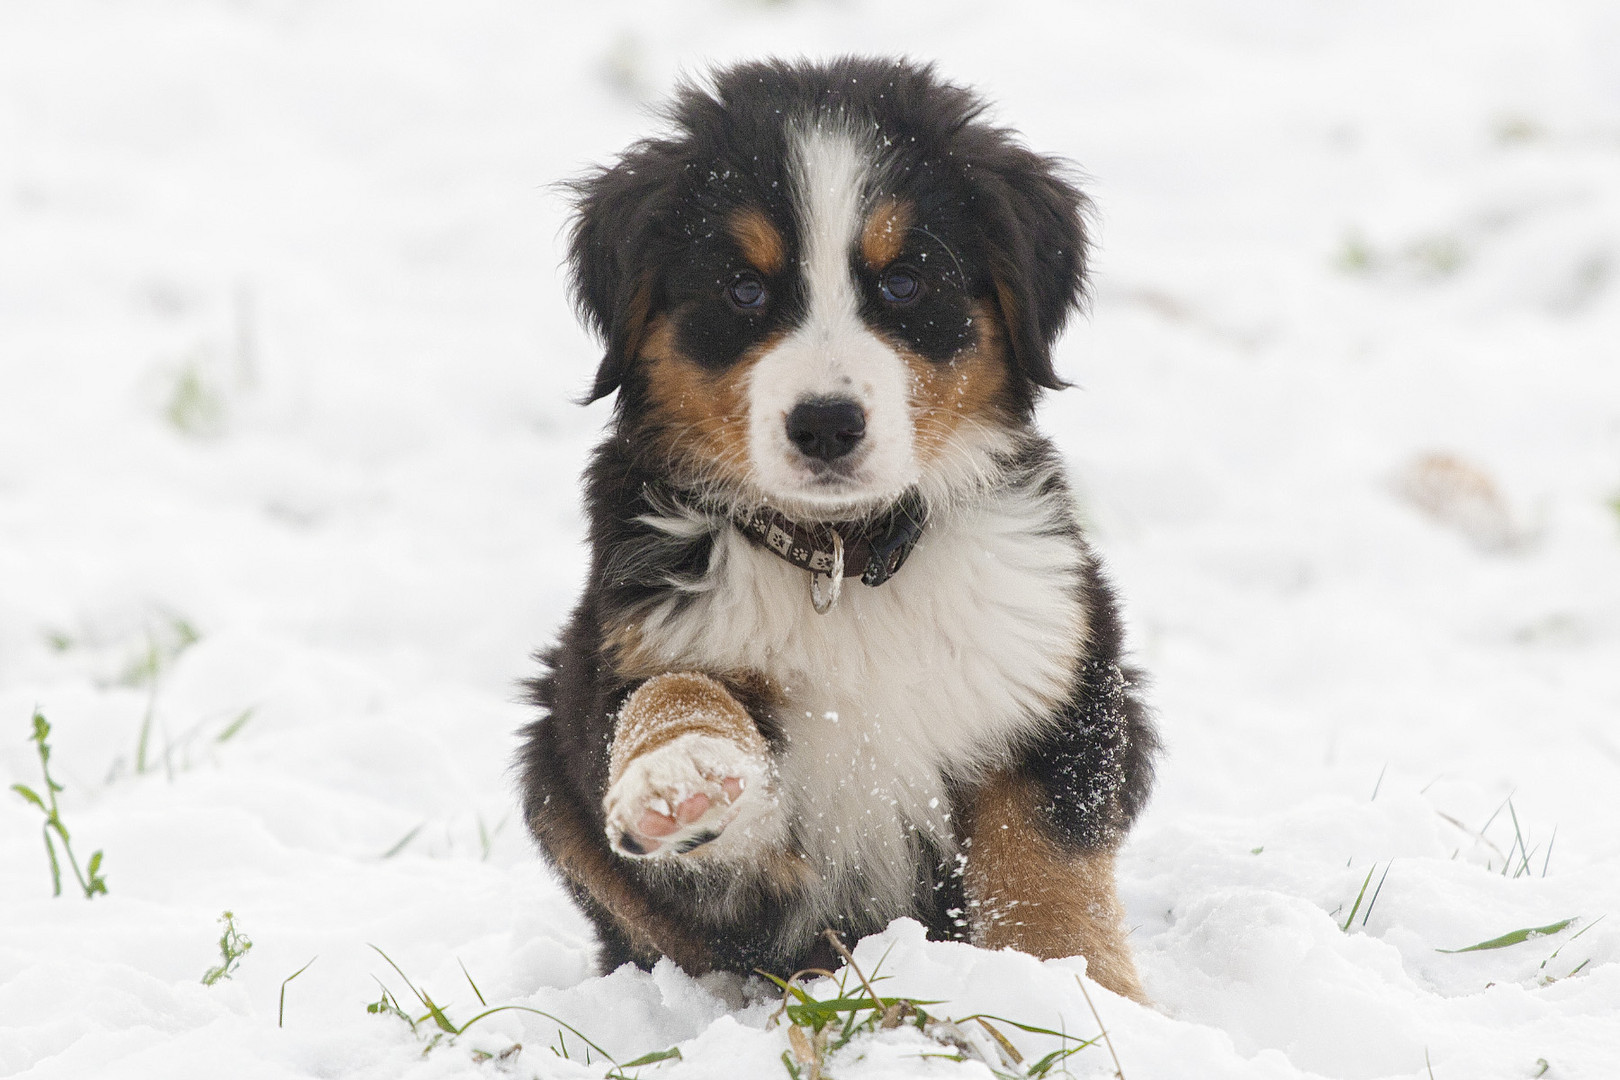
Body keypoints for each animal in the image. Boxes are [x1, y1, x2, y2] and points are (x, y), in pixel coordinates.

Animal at [511, 55, 1159, 1003]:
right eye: (743, 290)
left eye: (905, 282)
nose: (824, 425)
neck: (844, 559)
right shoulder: (629, 653)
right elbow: (681, 698)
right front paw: (682, 775)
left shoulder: (1058, 676)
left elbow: (1044, 866)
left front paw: (1075, 993)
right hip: (548, 778)